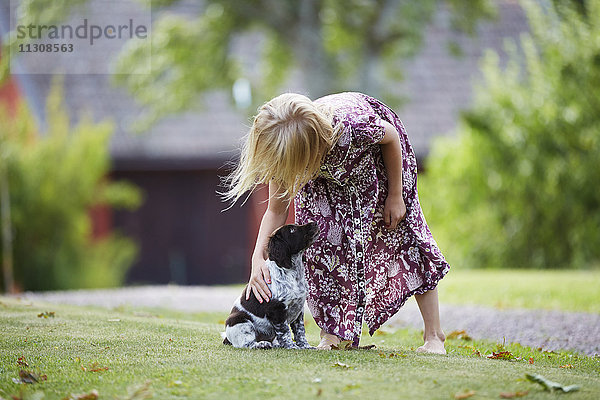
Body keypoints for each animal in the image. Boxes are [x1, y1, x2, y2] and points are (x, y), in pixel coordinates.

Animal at [223, 222, 318, 350]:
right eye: (292, 230)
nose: (315, 223)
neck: (291, 272)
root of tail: (227, 338)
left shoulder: (299, 308)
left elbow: (300, 331)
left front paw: (305, 346)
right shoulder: (277, 310)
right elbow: (285, 331)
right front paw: (291, 346)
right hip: (240, 321)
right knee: (246, 344)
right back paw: (262, 344)